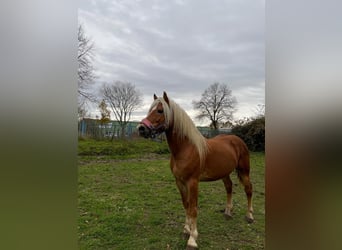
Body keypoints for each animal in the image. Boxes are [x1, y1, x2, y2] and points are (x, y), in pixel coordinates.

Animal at [137, 92, 254, 250]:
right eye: (150, 110)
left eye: (160, 111)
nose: (141, 128)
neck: (185, 149)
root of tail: (237, 139)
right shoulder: (179, 182)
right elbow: (186, 205)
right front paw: (186, 230)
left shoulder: (193, 182)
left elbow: (193, 208)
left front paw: (192, 239)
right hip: (224, 173)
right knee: (229, 187)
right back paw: (228, 212)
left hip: (244, 171)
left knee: (248, 189)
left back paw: (249, 216)